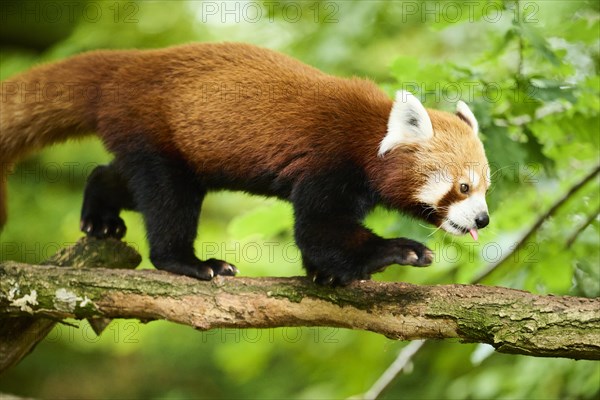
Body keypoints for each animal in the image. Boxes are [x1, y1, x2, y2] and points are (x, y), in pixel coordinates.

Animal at [0, 43, 490, 284]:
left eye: (486, 187)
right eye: (463, 187)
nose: (483, 219)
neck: (367, 135)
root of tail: (128, 64)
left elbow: (321, 239)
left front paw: (325, 276)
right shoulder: (327, 163)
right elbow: (319, 230)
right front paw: (398, 250)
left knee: (122, 178)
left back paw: (100, 213)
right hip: (157, 135)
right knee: (166, 201)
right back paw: (190, 263)